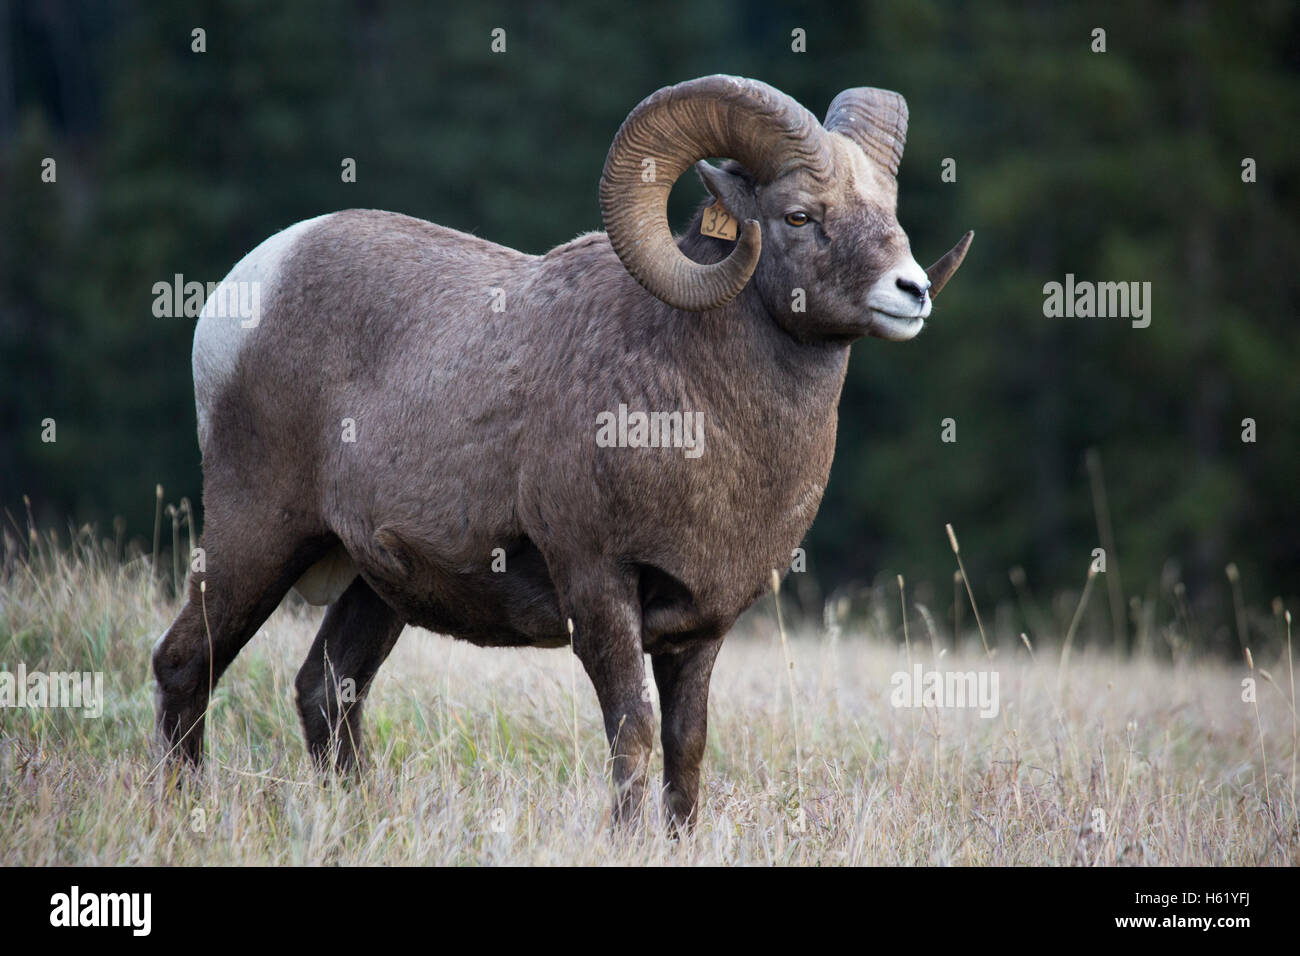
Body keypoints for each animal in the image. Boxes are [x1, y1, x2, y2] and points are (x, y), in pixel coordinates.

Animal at [152, 74, 972, 832]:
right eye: (800, 215)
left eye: (891, 212)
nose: (912, 291)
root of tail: (247, 287)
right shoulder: (598, 588)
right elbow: (633, 731)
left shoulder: (702, 628)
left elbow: (686, 748)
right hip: (259, 535)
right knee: (185, 663)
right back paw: (182, 811)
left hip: (372, 586)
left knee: (327, 691)